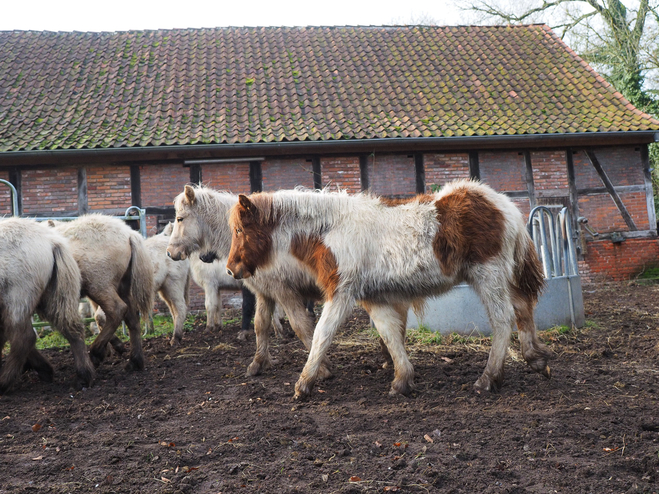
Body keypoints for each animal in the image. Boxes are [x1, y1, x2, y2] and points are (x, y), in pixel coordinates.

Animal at [0, 217, 95, 394]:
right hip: (53, 298)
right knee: (72, 329)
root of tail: (51, 240)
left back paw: (4, 382)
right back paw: (82, 376)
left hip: (17, 300)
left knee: (23, 338)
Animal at [163, 186, 332, 378]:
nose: (170, 252)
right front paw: (258, 363)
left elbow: (301, 326)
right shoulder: (264, 291)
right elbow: (261, 324)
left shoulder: (283, 291)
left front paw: (321, 368)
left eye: (180, 218)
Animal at [227, 179, 552, 400]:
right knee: (523, 308)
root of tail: (504, 205)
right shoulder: (374, 297)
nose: (231, 269)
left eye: (240, 230)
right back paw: (535, 359)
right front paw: (402, 380)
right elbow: (390, 334)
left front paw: (304, 384)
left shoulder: (342, 292)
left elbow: (321, 334)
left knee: (503, 320)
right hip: (501, 276)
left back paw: (488, 378)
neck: (331, 230)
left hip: (489, 275)